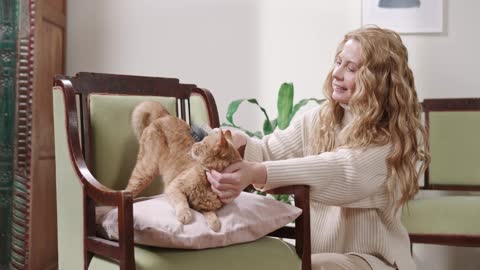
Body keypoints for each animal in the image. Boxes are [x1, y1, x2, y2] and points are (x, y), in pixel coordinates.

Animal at [125, 100, 242, 231]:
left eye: (203, 143)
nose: (194, 144)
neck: (207, 183)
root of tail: (165, 115)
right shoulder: (174, 187)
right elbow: (182, 202)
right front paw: (185, 215)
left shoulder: (202, 206)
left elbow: (212, 215)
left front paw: (215, 223)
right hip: (146, 170)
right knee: (127, 190)